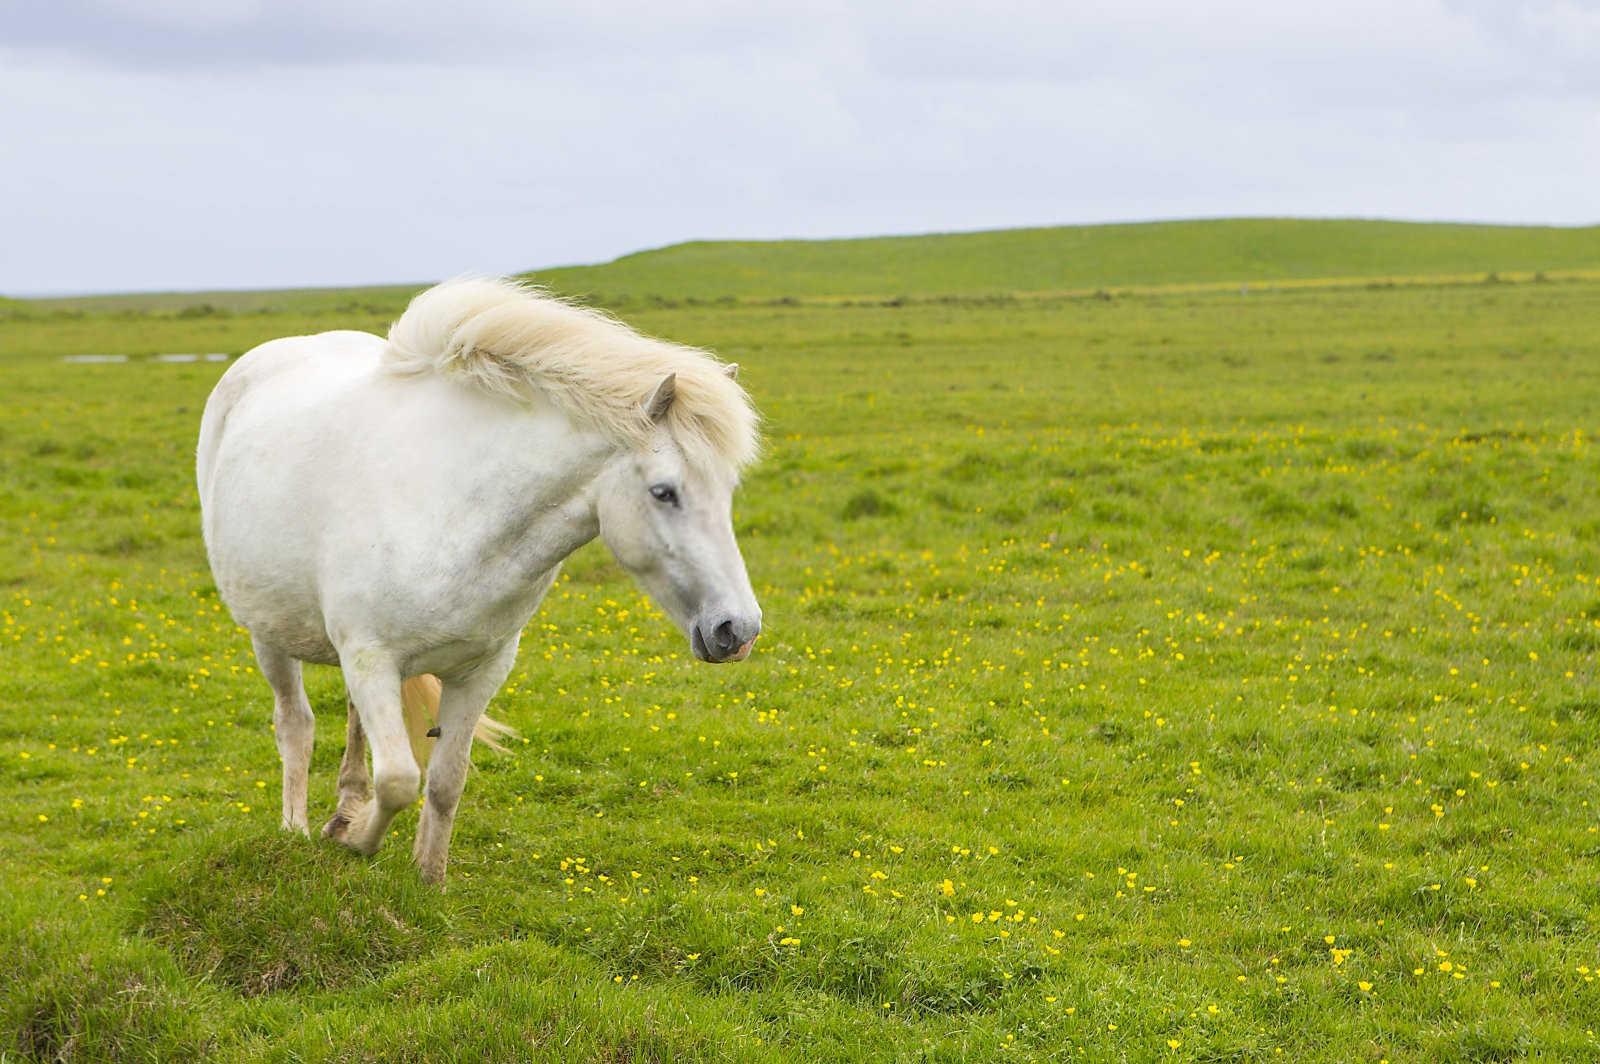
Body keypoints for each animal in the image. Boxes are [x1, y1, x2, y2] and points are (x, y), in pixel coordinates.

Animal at [195, 273, 761, 876]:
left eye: (728, 489)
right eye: (663, 492)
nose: (737, 630)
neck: (457, 510)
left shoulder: (480, 671)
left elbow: (445, 782)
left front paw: (427, 878)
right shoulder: (371, 659)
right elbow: (399, 780)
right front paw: (359, 842)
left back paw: (345, 808)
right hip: (268, 633)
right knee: (296, 725)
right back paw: (297, 828)